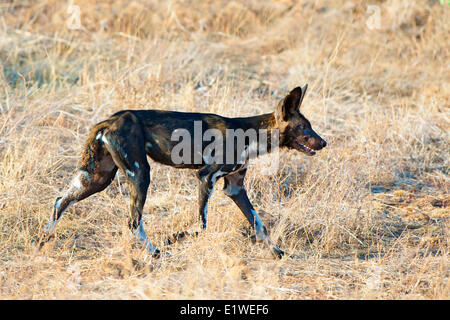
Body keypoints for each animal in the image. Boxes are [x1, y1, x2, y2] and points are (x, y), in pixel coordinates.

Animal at [44, 85, 326, 258]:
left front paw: (277, 253)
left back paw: (44, 238)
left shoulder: (235, 188)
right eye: (304, 128)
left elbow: (260, 225)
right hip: (140, 174)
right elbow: (201, 224)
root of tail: (109, 119)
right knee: (133, 221)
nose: (323, 142)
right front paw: (174, 238)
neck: (252, 134)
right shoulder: (205, 177)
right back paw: (155, 253)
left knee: (60, 201)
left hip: (98, 177)